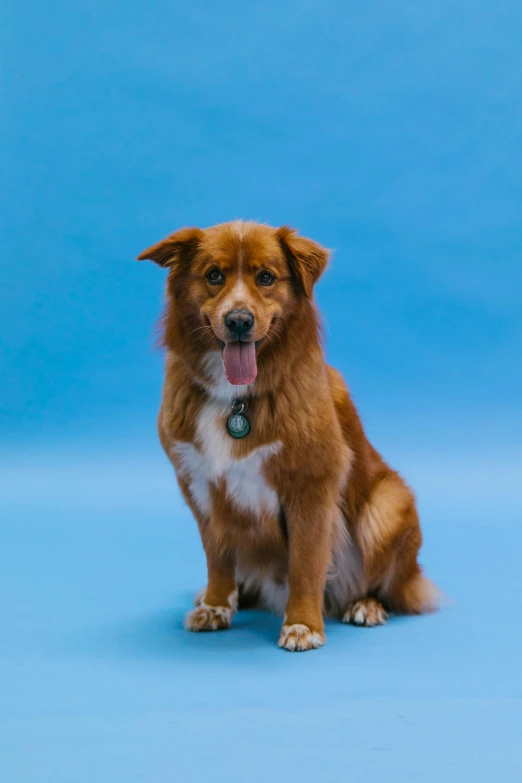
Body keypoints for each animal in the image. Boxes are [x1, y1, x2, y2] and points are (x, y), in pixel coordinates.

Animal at [138, 219, 434, 648]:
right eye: (214, 275)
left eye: (266, 277)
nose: (239, 321)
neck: (237, 400)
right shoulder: (200, 484)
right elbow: (217, 557)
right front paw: (215, 605)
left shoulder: (311, 485)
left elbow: (306, 563)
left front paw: (303, 624)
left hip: (387, 506)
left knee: (393, 586)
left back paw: (365, 605)